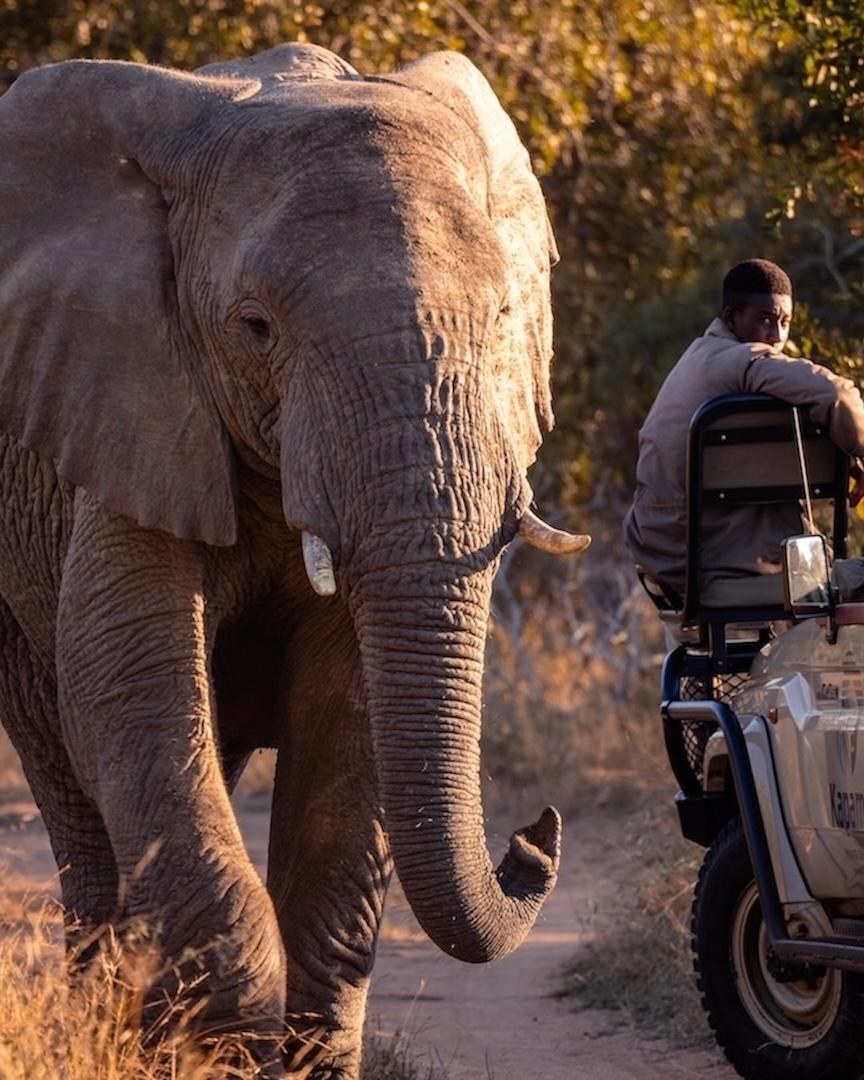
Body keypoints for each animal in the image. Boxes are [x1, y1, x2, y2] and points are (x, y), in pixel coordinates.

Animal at [0, 42, 589, 1077]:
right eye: (254, 327)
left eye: (506, 314)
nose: (535, 837)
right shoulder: (131, 410)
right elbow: (130, 692)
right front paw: (230, 1051)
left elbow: (348, 718)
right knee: (71, 770)